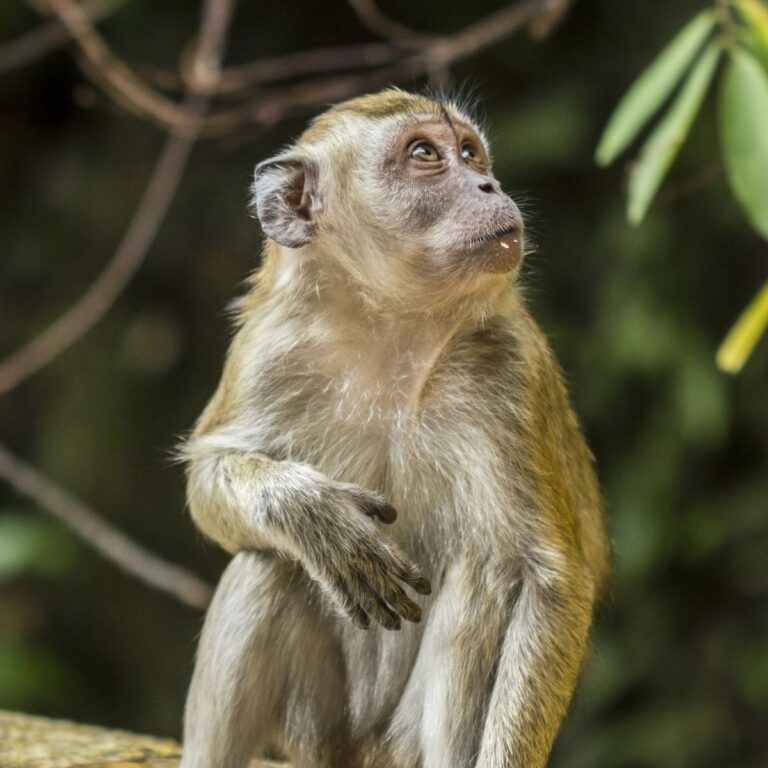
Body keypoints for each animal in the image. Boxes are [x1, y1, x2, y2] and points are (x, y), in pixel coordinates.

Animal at [179, 87, 610, 768]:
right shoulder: (266, 349)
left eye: (470, 153)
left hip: (398, 744)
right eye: (425, 154)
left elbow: (548, 578)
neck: (392, 330)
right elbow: (207, 480)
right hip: (314, 734)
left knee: (487, 571)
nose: (489, 185)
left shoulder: (511, 367)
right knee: (267, 564)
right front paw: (310, 513)